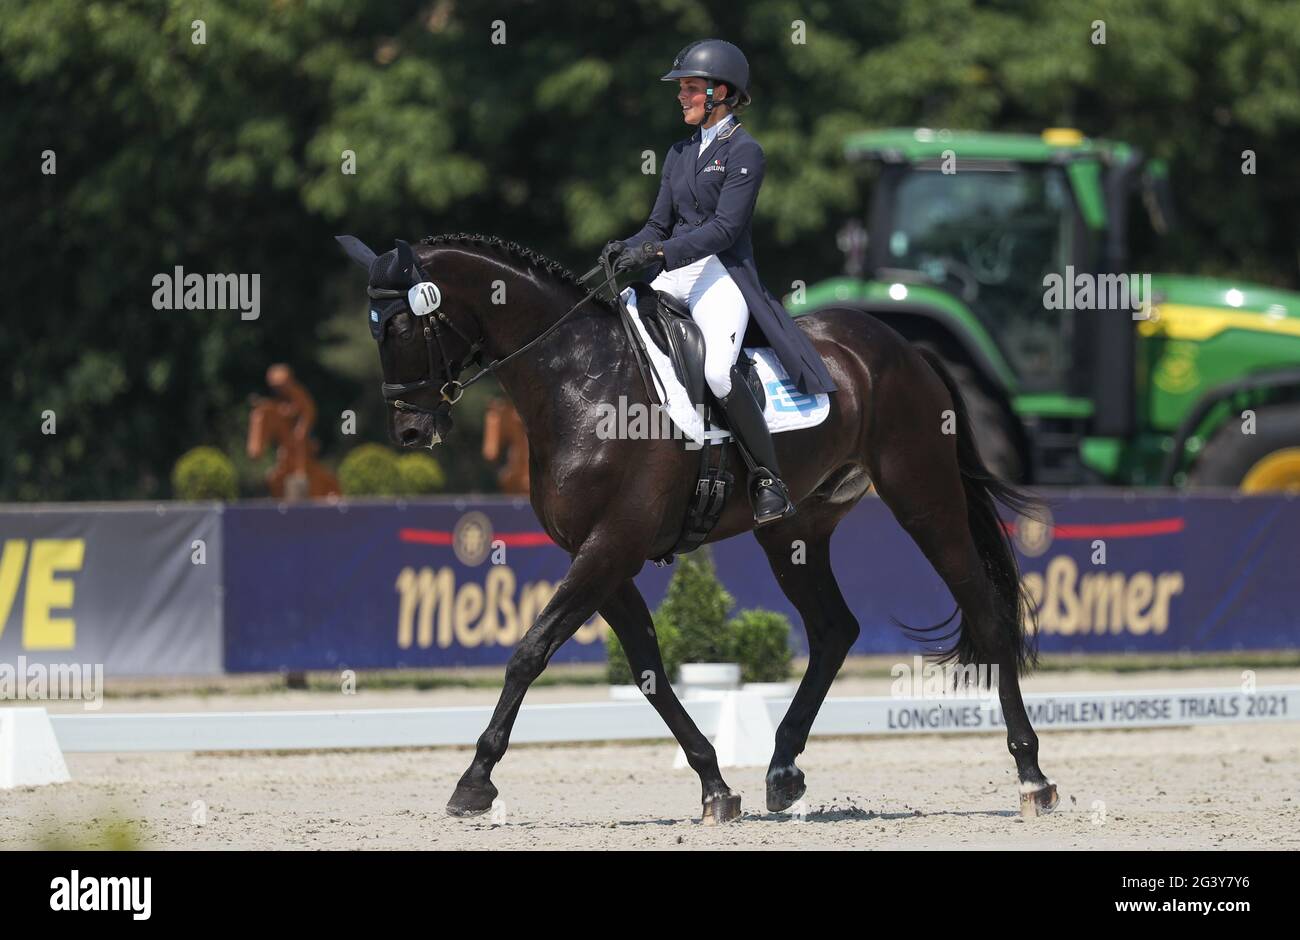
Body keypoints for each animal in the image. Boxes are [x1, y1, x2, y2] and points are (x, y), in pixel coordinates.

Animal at [338, 234, 1055, 821]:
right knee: (834, 630)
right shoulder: (603, 556)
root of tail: (906, 348)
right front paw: (715, 784)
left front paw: (474, 780)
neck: (578, 381)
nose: (410, 431)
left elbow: (530, 652)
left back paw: (1032, 776)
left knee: (986, 613)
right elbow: (648, 668)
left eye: (397, 324)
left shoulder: (610, 547)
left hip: (923, 499)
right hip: (793, 531)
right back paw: (782, 770)